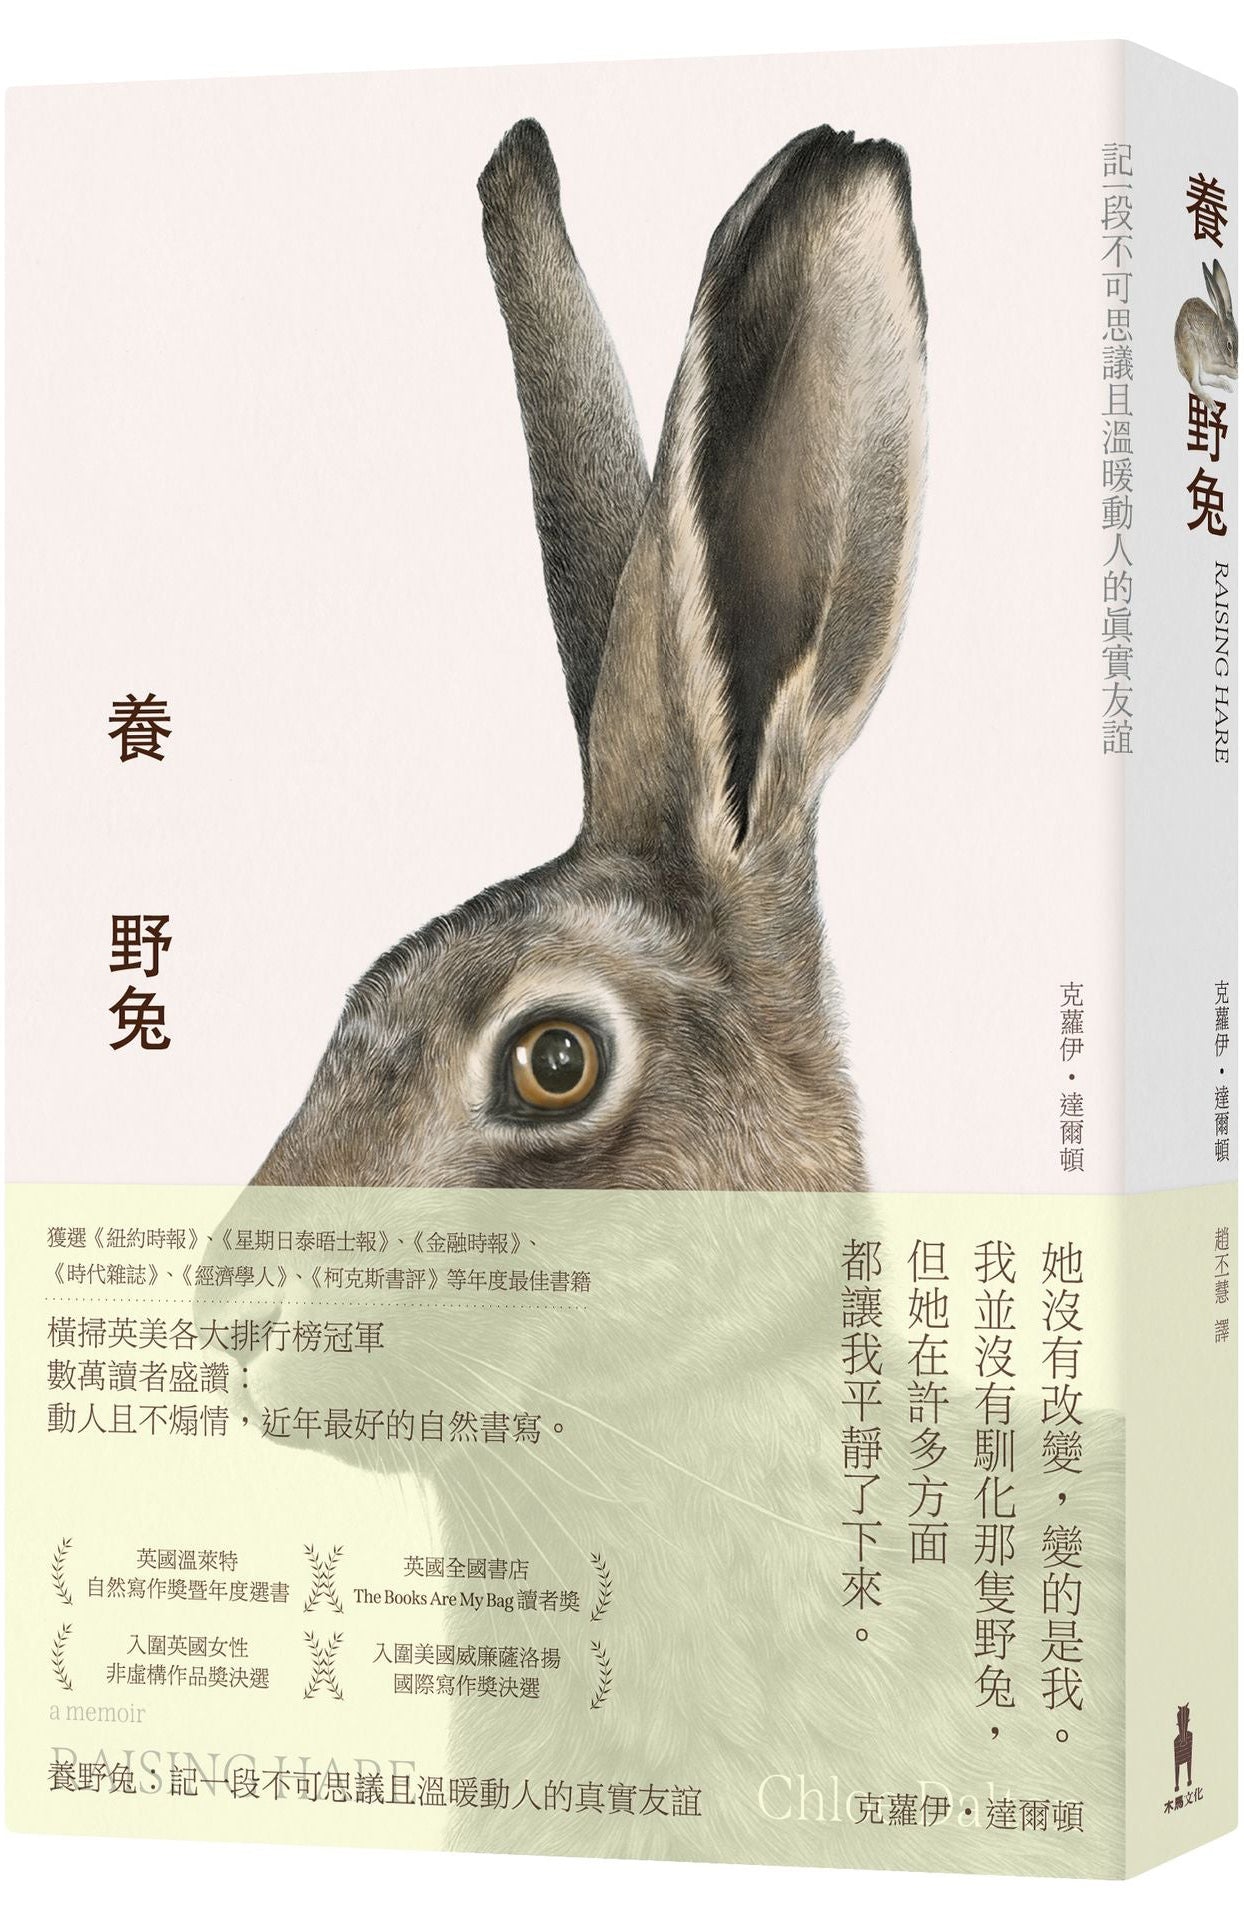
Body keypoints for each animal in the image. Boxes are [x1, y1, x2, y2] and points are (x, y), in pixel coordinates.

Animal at [1175, 260, 1237, 400]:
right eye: (1229, 345)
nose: (1234, 363)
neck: (1216, 337)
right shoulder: (1207, 359)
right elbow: (1218, 368)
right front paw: (1235, 372)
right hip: (1190, 347)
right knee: (1195, 383)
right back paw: (1211, 401)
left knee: (1202, 379)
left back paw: (1226, 385)